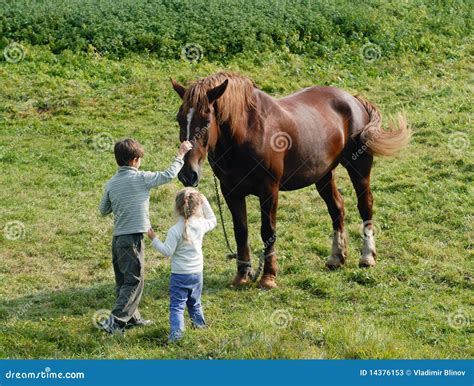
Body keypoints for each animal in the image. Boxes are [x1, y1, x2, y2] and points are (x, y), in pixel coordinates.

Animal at [171, 72, 412, 290]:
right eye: (179, 119)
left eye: (206, 120)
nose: (187, 174)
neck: (248, 131)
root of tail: (353, 99)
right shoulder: (231, 191)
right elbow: (241, 231)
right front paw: (242, 275)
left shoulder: (269, 190)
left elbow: (267, 232)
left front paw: (268, 277)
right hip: (323, 174)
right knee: (337, 209)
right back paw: (337, 257)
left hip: (359, 168)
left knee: (365, 205)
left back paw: (367, 256)